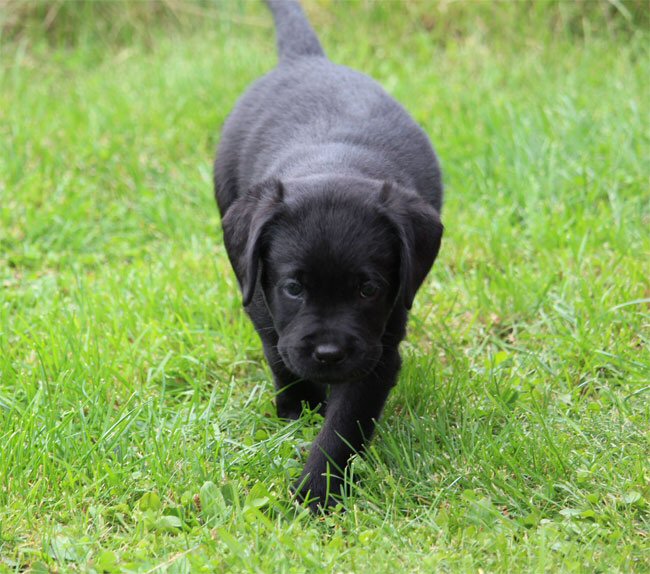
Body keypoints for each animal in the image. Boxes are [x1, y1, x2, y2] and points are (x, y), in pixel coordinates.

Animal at [214, 0, 444, 511]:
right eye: (294, 288)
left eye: (368, 289)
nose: (329, 353)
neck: (334, 160)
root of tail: (306, 61)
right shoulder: (263, 306)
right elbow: (280, 356)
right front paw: (298, 409)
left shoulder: (379, 350)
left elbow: (342, 427)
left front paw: (314, 493)